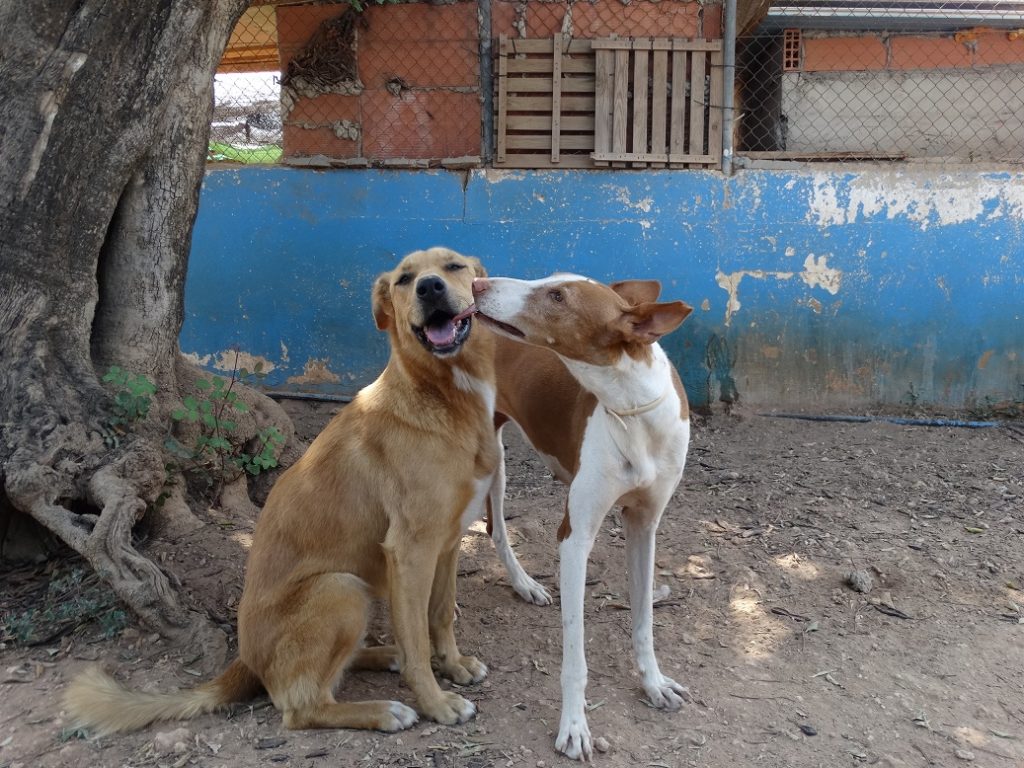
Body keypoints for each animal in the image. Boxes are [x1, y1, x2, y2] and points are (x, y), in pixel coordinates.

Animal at [64, 249, 499, 737]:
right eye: (405, 280)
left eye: (453, 267)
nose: (429, 288)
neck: (445, 399)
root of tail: (245, 661)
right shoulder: (410, 551)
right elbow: (419, 641)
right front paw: (436, 702)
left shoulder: (448, 543)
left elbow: (440, 616)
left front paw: (455, 665)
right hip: (340, 588)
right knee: (299, 706)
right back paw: (384, 708)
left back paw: (383, 656)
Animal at [475, 274, 692, 761]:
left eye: (558, 296)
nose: (477, 284)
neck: (633, 407)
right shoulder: (574, 539)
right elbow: (575, 656)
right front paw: (574, 726)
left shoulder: (644, 526)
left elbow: (644, 622)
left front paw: (653, 683)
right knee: (492, 527)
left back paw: (524, 585)